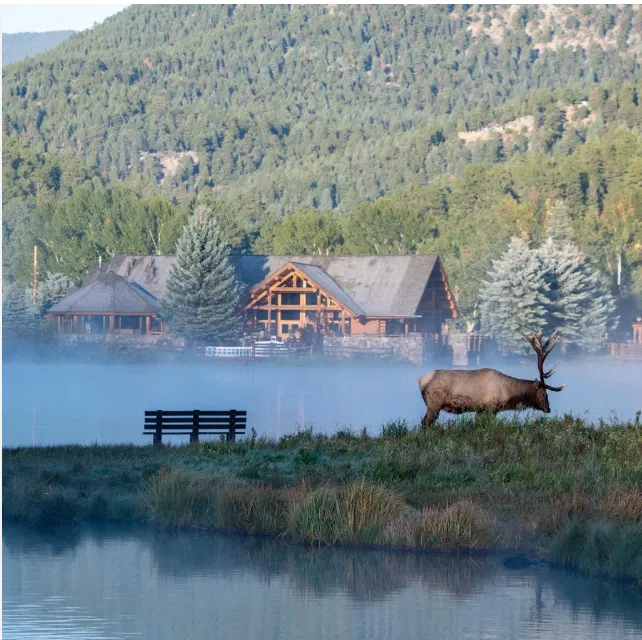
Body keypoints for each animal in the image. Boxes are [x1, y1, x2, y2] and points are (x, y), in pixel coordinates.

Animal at [418, 331, 565, 429]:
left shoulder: (480, 410)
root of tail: (420, 380)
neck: (508, 394)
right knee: (424, 424)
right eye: (544, 394)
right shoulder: (490, 408)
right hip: (434, 404)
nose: (548, 409)